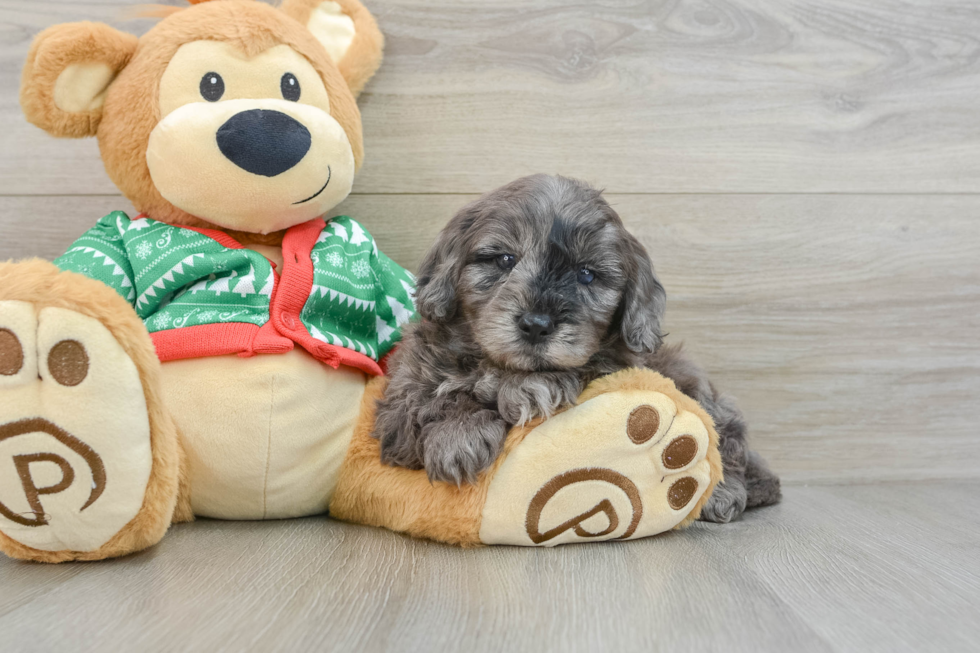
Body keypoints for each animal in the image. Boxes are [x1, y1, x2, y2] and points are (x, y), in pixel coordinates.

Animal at [376, 172, 780, 520]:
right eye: (505, 259)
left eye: (586, 274)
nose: (537, 324)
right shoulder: (401, 401)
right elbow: (433, 399)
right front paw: (458, 437)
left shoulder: (614, 365)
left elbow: (569, 370)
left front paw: (525, 387)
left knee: (726, 440)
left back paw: (724, 491)